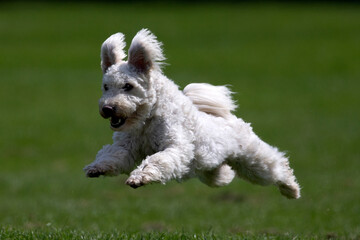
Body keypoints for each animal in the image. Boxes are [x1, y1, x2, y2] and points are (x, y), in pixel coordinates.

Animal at [84, 29, 300, 199]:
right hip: (211, 170)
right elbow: (112, 155)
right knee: (222, 175)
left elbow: (157, 160)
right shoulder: (127, 147)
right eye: (106, 87)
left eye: (128, 86)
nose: (107, 109)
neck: (147, 120)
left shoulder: (176, 147)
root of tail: (229, 118)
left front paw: (139, 178)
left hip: (252, 160)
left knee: (276, 166)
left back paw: (291, 189)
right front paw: (97, 167)